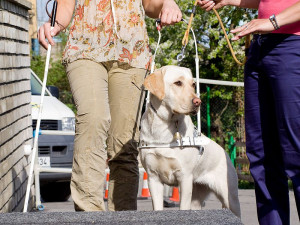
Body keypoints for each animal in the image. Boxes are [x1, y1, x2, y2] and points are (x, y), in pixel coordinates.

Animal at [139, 66, 240, 217]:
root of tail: (225, 153)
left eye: (193, 84)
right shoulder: (153, 178)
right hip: (197, 197)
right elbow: (157, 207)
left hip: (230, 197)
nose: (198, 102)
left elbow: (183, 207)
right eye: (178, 83)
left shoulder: (185, 177)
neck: (163, 127)